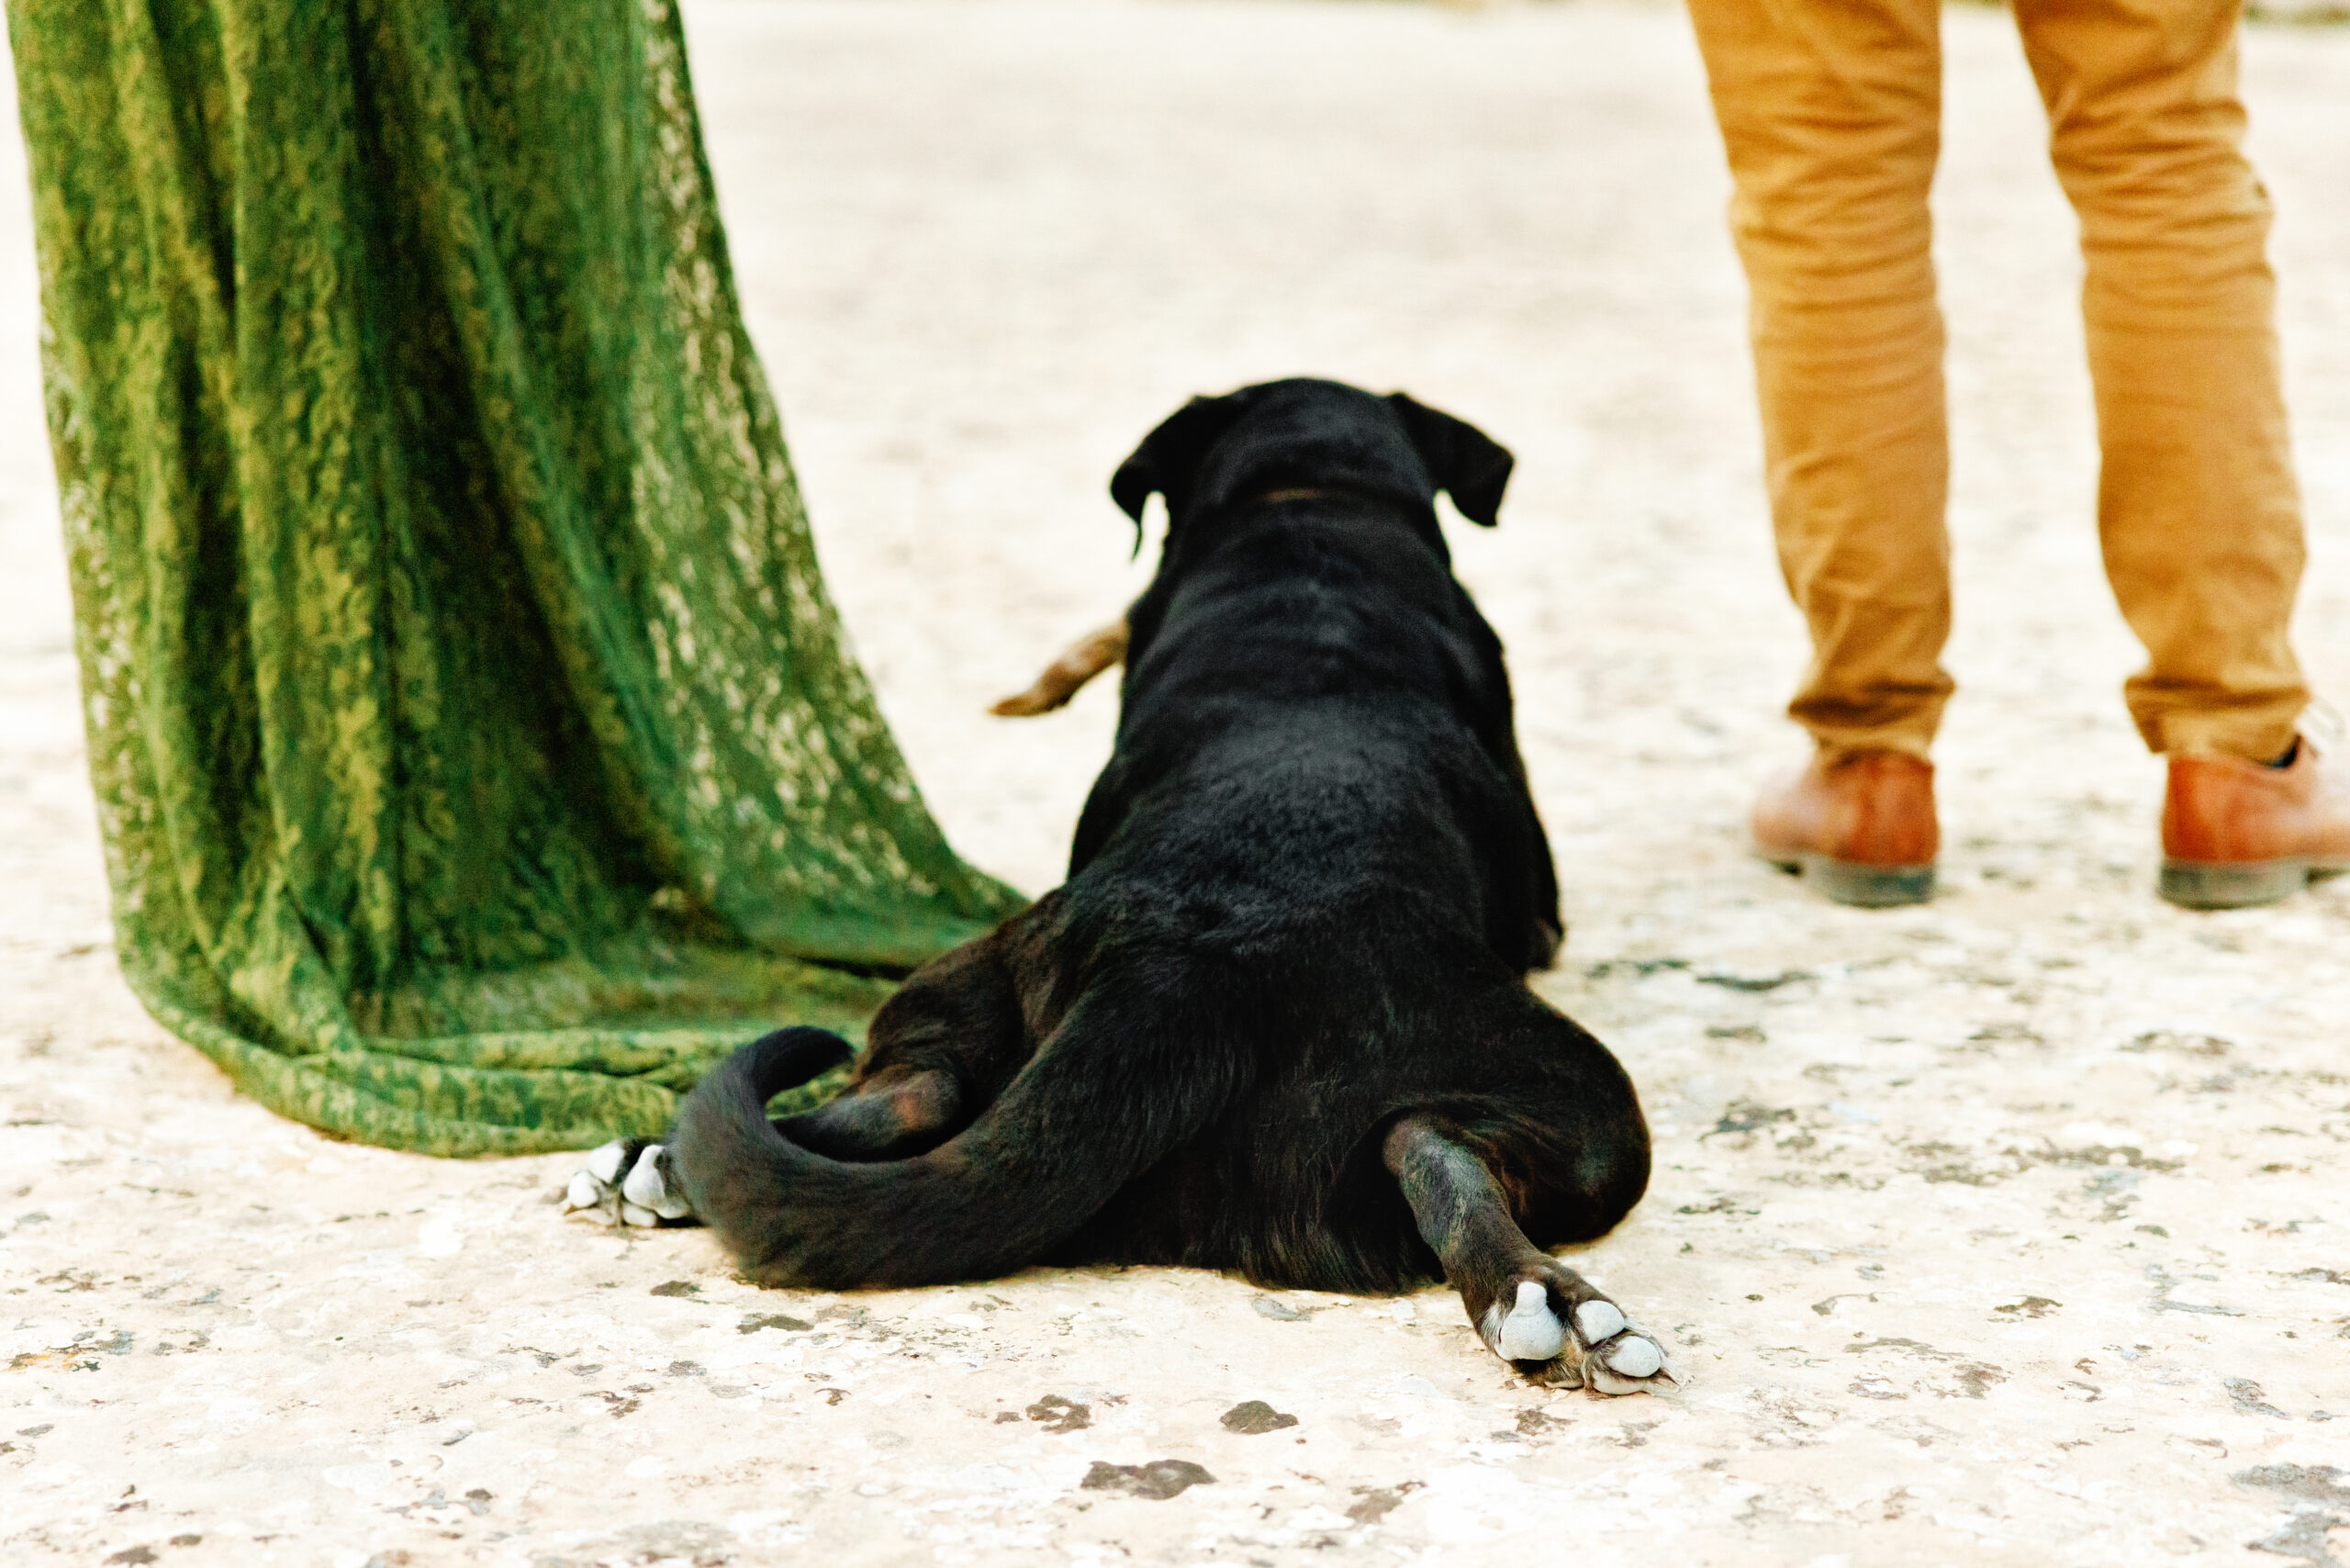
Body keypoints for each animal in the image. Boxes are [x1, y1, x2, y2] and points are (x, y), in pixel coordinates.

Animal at [565, 380, 1673, 1401]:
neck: (1305, 511)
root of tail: (1173, 978)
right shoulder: (1542, 912)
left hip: (969, 978)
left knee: (919, 1092)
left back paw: (656, 1161)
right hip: (1588, 1108)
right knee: (1427, 1139)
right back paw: (1546, 1298)